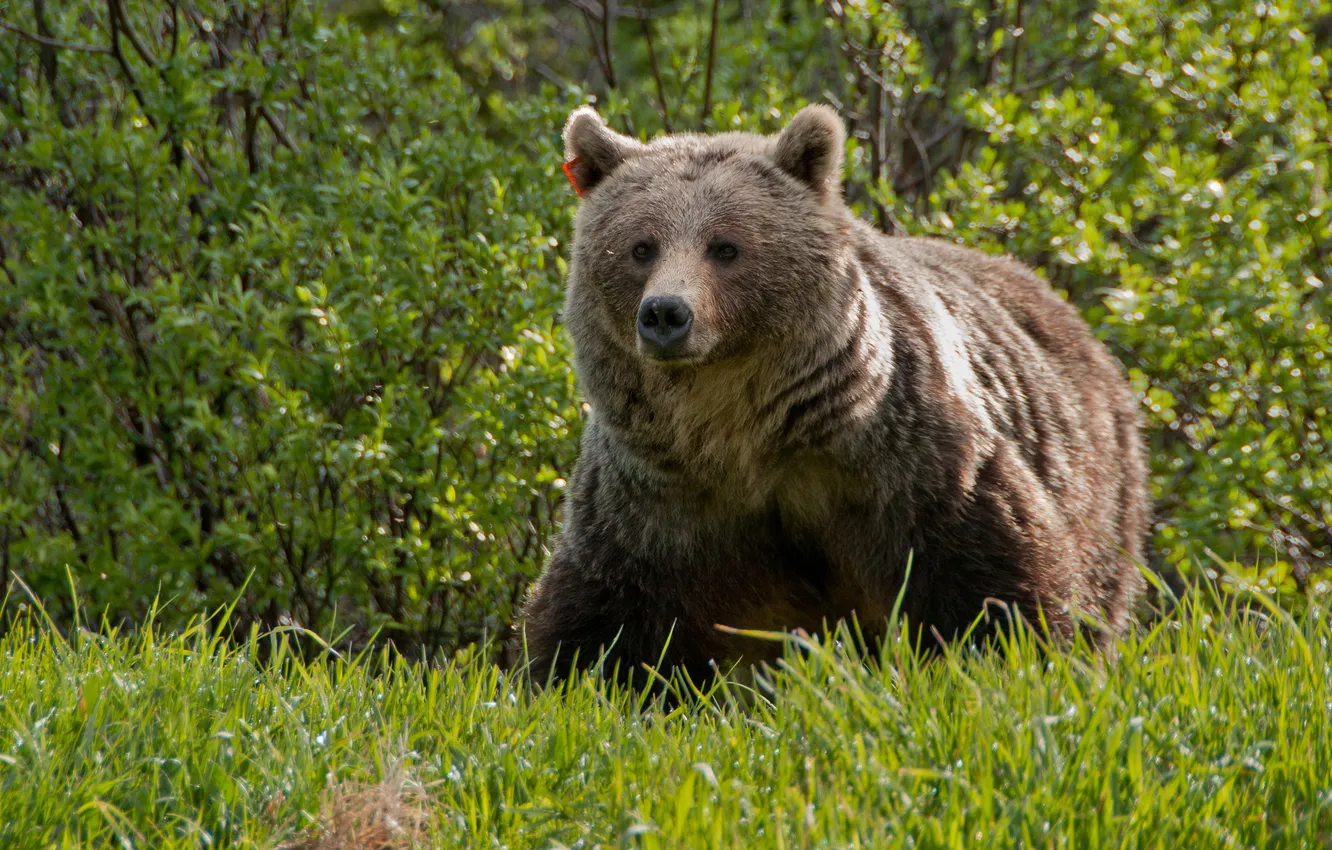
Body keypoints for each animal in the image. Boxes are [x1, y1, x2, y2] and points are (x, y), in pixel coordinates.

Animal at [516, 103, 1149, 687]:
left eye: (725, 247)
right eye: (640, 247)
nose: (666, 313)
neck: (739, 433)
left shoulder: (906, 466)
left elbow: (993, 582)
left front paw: (1012, 659)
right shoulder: (655, 505)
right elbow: (603, 618)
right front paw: (575, 682)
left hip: (1100, 483)